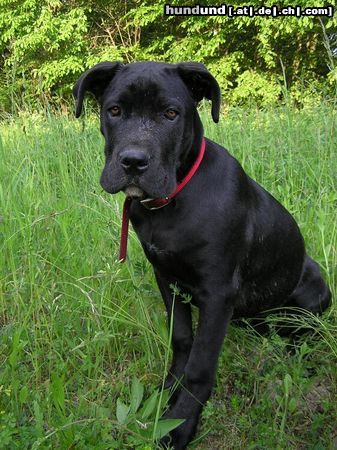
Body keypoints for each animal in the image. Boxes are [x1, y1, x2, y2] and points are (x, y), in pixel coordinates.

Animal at [71, 60, 330, 450]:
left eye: (170, 114)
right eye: (114, 110)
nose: (133, 162)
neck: (173, 201)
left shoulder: (218, 292)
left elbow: (200, 366)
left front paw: (180, 422)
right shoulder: (167, 278)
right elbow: (181, 340)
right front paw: (168, 389)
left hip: (314, 287)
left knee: (305, 331)